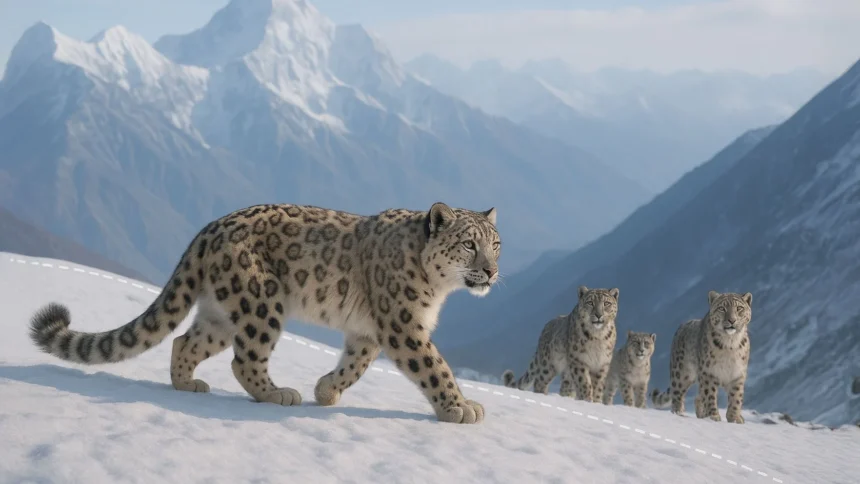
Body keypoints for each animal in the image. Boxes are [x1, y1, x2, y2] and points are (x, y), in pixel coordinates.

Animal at [28, 201, 500, 424]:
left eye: (496, 244)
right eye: (468, 244)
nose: (493, 271)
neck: (437, 290)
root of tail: (207, 230)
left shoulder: (368, 332)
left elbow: (355, 365)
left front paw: (327, 390)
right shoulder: (402, 324)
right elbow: (434, 367)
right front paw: (461, 407)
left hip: (221, 315)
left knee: (184, 340)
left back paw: (187, 384)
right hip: (260, 301)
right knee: (245, 359)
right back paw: (277, 393)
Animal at [650, 290, 753, 424]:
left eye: (739, 308)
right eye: (722, 308)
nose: (732, 320)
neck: (730, 343)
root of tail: (682, 326)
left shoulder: (737, 374)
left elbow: (736, 397)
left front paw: (734, 418)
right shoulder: (709, 372)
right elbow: (710, 395)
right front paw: (714, 416)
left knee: (698, 397)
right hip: (682, 373)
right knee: (678, 393)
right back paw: (679, 412)